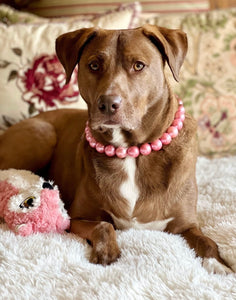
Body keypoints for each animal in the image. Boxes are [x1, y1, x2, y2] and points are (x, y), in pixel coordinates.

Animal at [0, 26, 232, 274]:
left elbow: (206, 241)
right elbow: (103, 225)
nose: (108, 104)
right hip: (41, 135)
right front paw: (106, 251)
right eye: (94, 65)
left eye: (138, 65)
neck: (133, 153)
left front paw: (218, 264)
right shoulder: (76, 218)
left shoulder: (187, 225)